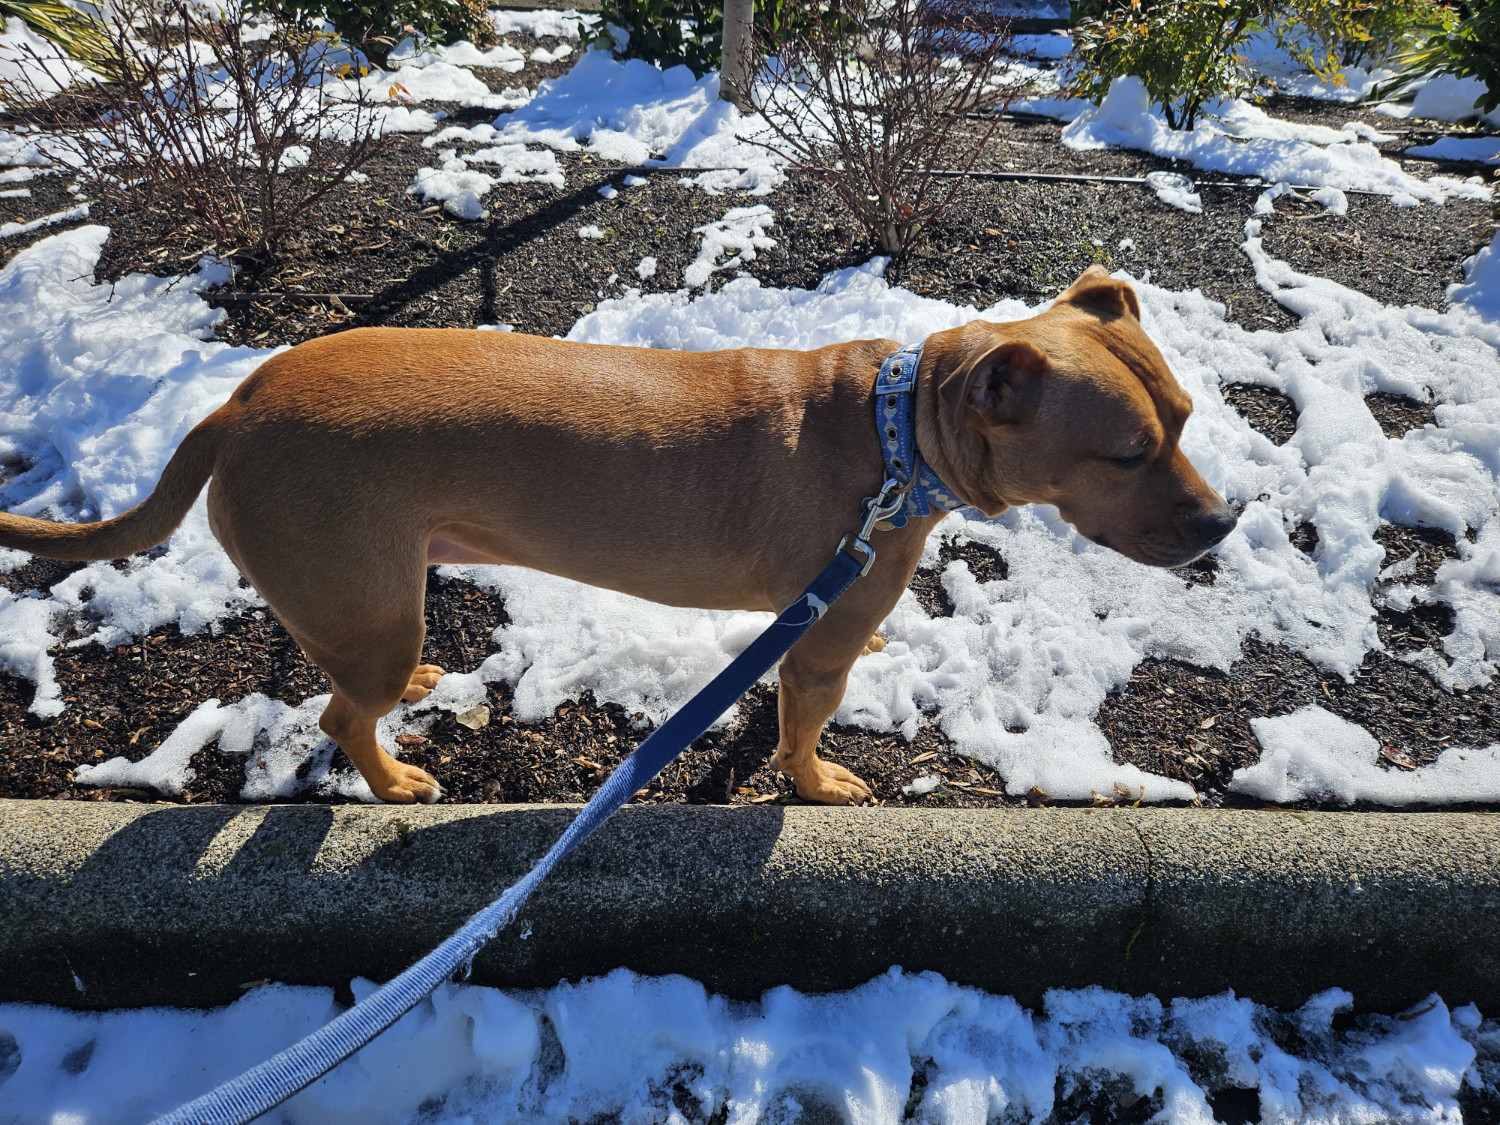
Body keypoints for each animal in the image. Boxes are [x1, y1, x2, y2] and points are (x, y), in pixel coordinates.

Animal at [0, 268, 1236, 804]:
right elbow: (798, 728)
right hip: (361, 600)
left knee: (343, 679)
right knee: (340, 712)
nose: (1226, 521)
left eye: (1185, 418)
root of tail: (235, 404)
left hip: (368, 600)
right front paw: (813, 783)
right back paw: (394, 781)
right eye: (1128, 453)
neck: (902, 430)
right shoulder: (814, 648)